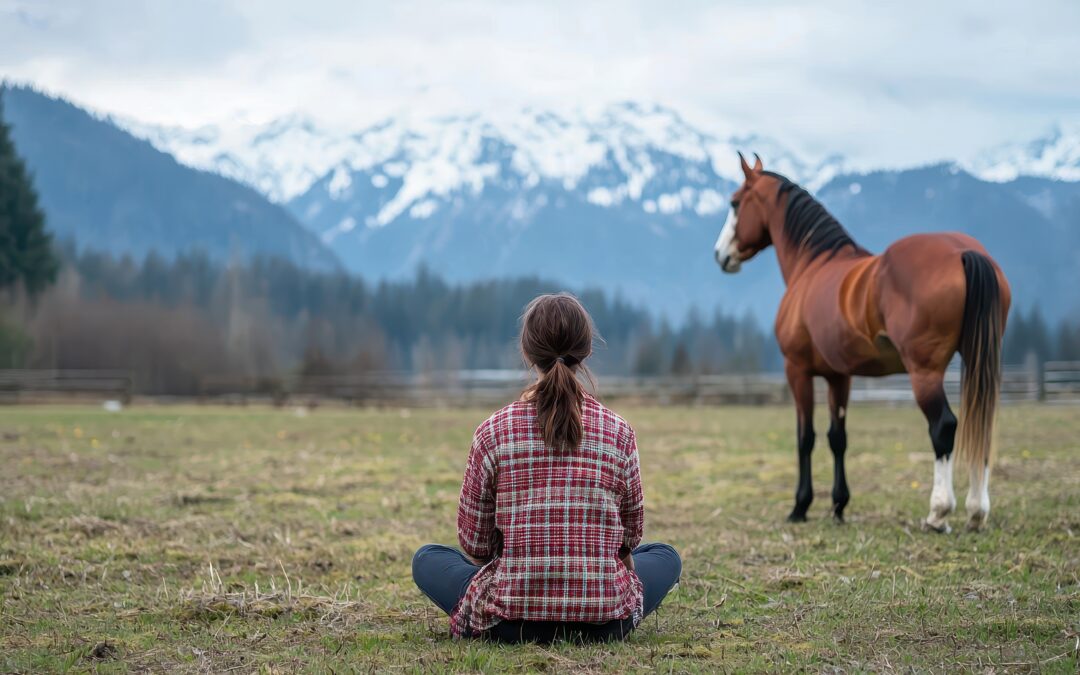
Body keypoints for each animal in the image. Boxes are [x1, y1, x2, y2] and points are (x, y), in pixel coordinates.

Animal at [717, 154, 1010, 531]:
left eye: (735, 203)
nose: (721, 255)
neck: (811, 265)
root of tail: (964, 251)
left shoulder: (797, 370)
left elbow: (805, 438)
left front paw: (800, 506)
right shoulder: (839, 376)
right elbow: (837, 438)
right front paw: (839, 505)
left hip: (924, 372)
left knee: (944, 426)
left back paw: (938, 512)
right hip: (978, 361)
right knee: (981, 425)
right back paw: (976, 512)